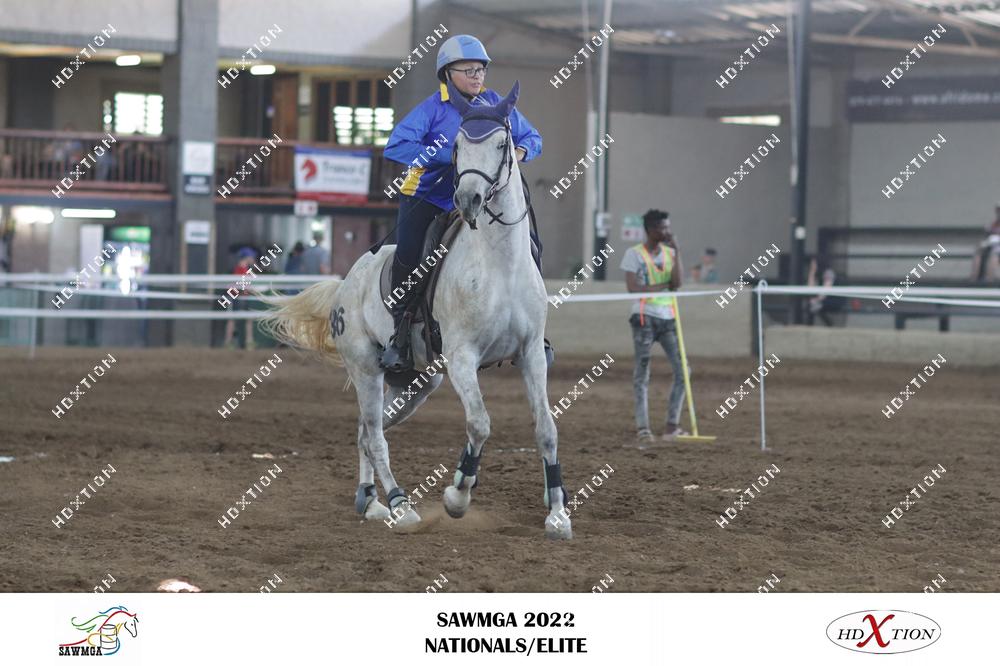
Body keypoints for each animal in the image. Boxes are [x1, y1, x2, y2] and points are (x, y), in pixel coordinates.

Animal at [262, 80, 572, 539]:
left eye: (502, 143)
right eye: (456, 145)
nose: (469, 198)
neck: (499, 264)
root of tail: (344, 286)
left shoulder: (531, 353)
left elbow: (546, 429)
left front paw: (557, 513)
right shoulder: (462, 358)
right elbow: (479, 423)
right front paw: (458, 495)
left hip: (416, 383)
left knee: (364, 431)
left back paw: (370, 501)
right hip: (367, 371)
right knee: (374, 435)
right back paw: (398, 504)